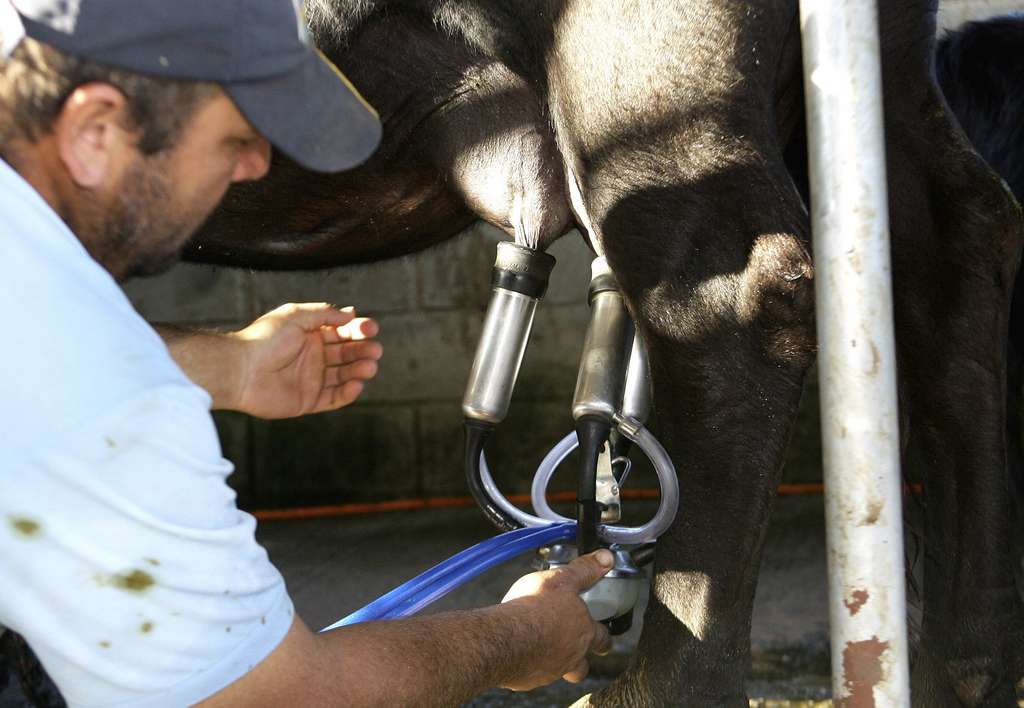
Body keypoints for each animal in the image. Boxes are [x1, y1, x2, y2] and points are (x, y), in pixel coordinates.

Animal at [184, 2, 1024, 704]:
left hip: (642, 74)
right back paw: (960, 668)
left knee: (732, 302)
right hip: (883, 71)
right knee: (962, 244)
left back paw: (654, 687)